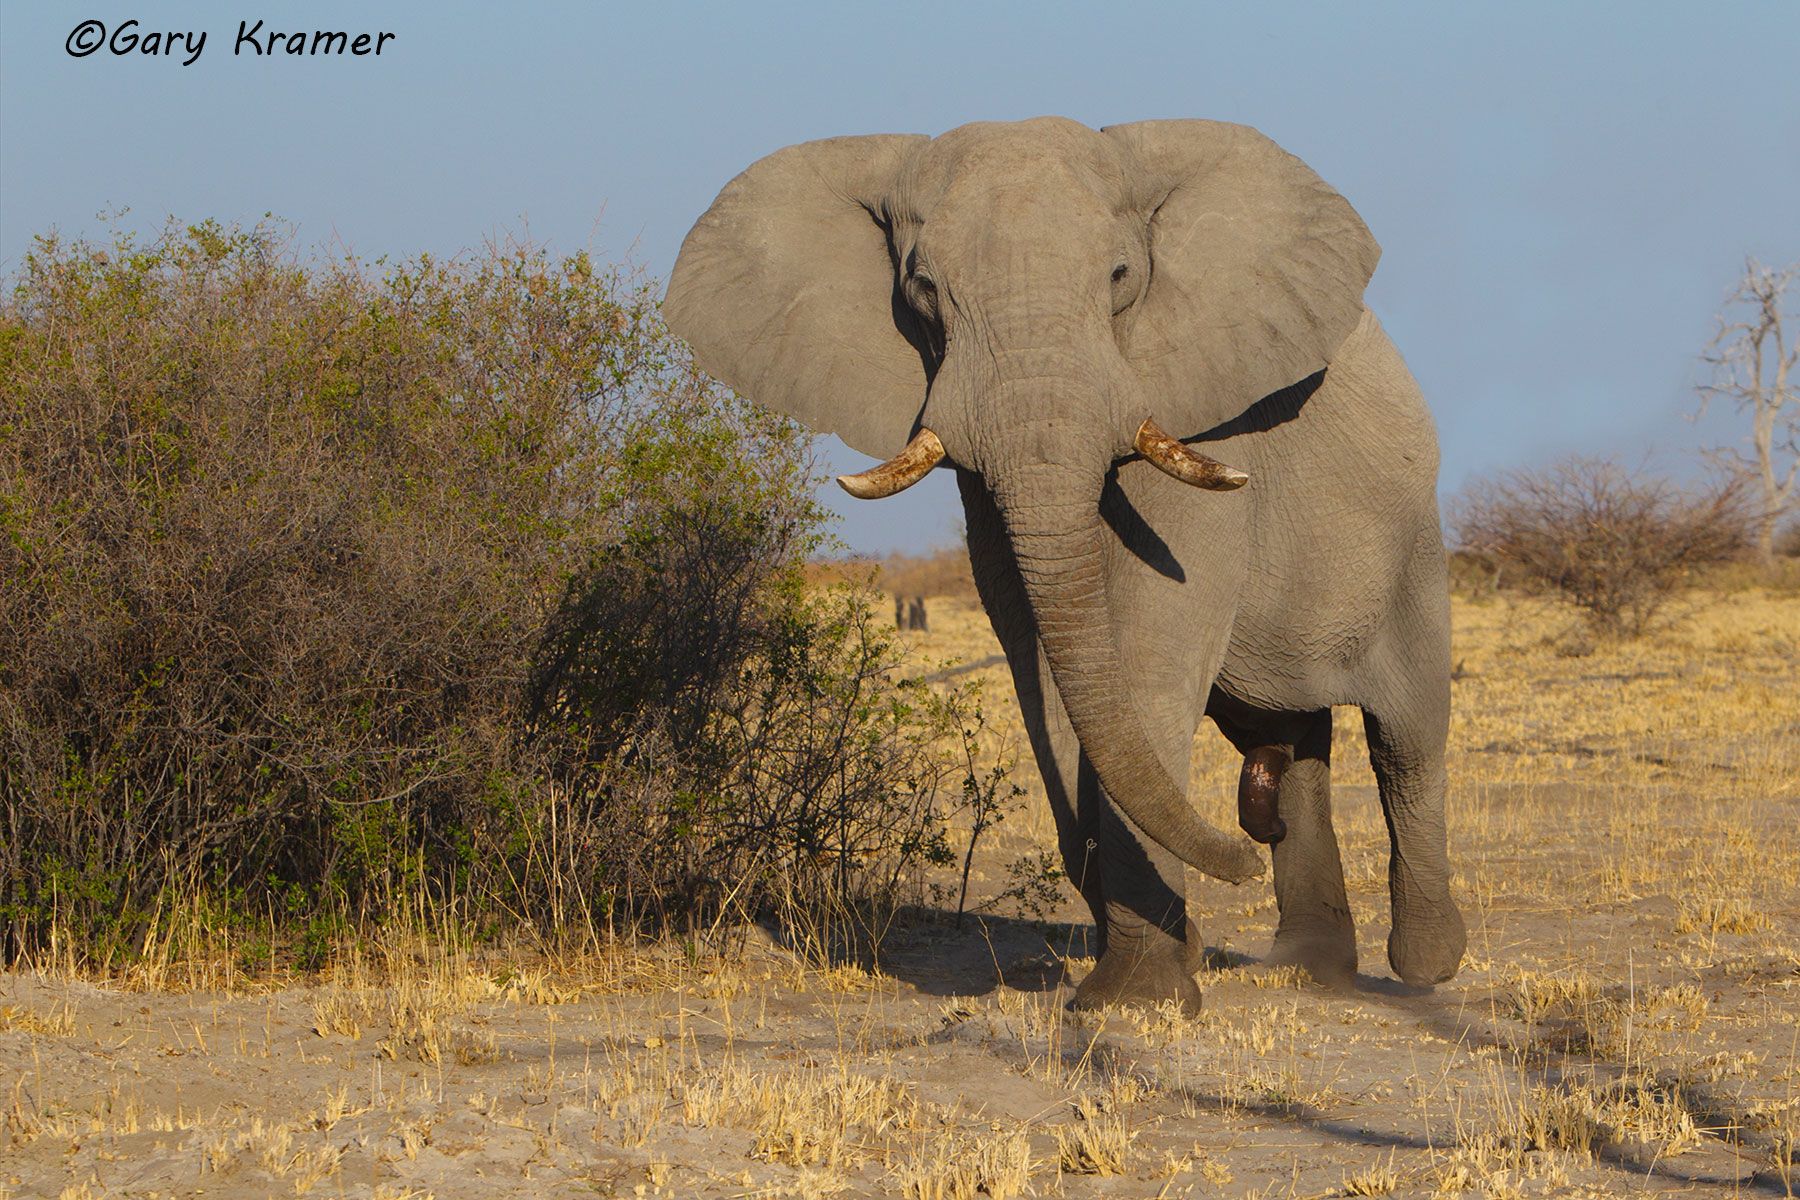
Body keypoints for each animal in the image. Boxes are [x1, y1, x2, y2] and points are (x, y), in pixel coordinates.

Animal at [664, 116, 1466, 1011]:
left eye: (1120, 277)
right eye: (923, 289)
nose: (1237, 863)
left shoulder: (1201, 422)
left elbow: (1146, 659)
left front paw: (1139, 1000)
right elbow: (1044, 681)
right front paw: (1152, 971)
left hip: (1411, 544)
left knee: (1406, 739)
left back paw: (1426, 966)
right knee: (1289, 743)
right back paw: (1306, 966)